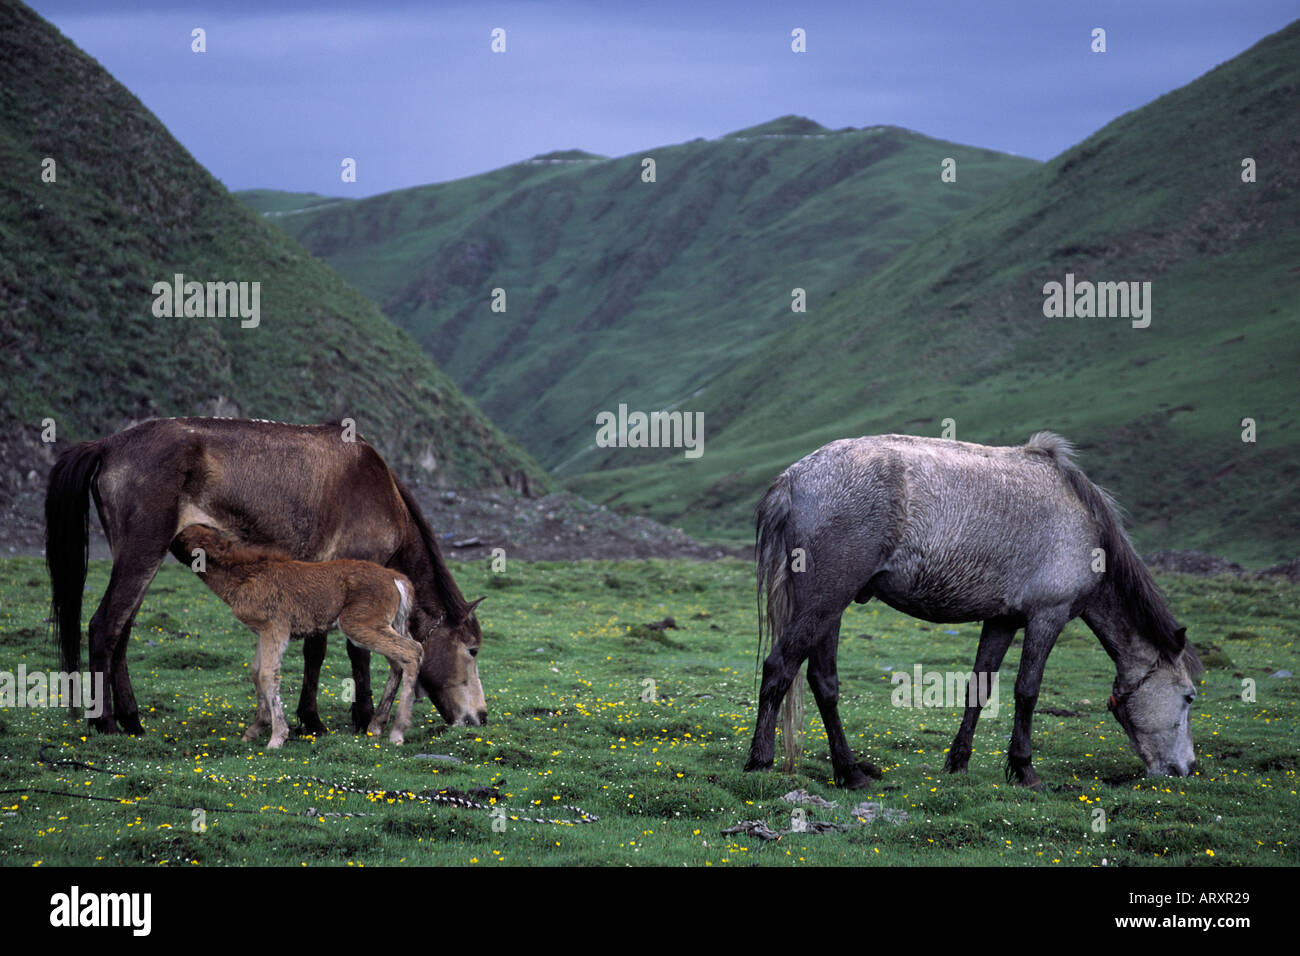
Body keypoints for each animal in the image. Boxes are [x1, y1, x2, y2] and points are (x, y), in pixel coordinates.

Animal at [176, 523, 424, 747]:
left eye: (182, 537)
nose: (170, 540)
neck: (244, 577)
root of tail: (396, 579)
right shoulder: (262, 632)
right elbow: (256, 671)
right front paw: (255, 728)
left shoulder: (276, 628)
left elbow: (268, 675)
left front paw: (277, 737)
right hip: (388, 625)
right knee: (399, 660)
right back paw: (376, 725)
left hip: (359, 626)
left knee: (412, 651)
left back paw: (397, 732)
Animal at [745, 431, 1203, 789]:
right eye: (1189, 697)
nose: (1185, 768)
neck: (1084, 523)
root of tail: (792, 479)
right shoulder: (1048, 616)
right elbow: (1027, 691)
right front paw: (1024, 770)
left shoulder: (1001, 620)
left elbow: (979, 689)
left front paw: (958, 763)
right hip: (825, 602)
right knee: (780, 667)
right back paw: (761, 761)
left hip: (831, 610)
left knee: (823, 682)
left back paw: (850, 772)